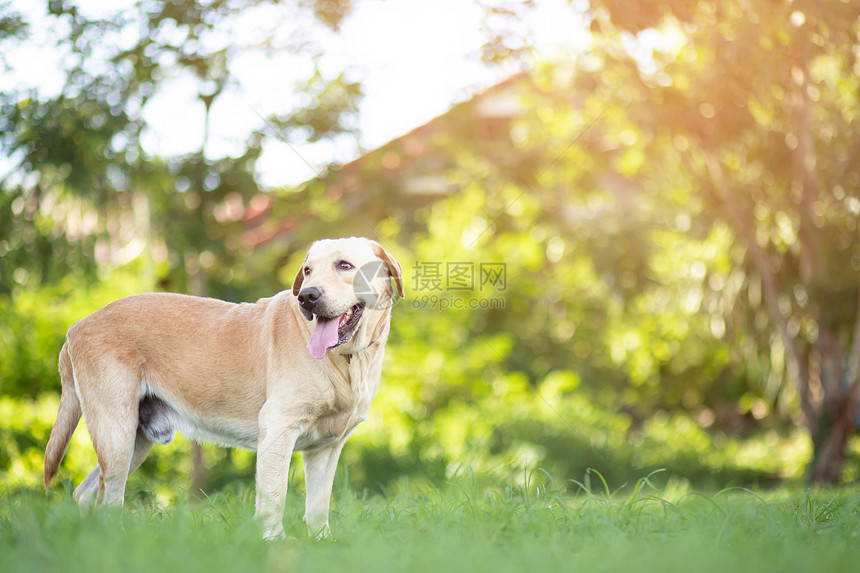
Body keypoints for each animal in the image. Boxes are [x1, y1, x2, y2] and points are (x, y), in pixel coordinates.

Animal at [46, 235, 406, 540]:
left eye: (344, 265)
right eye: (307, 271)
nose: (307, 295)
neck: (348, 361)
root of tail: (76, 328)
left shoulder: (326, 448)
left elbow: (318, 503)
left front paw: (323, 542)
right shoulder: (278, 428)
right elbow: (274, 493)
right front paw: (273, 541)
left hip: (135, 440)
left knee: (86, 492)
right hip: (116, 432)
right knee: (109, 496)